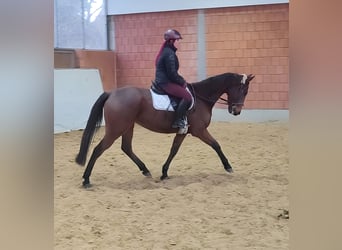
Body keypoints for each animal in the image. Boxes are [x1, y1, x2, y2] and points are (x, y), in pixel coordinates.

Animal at [76, 71, 255, 187]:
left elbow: (173, 150)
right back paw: (86, 180)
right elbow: (216, 145)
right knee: (98, 149)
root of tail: (111, 94)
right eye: (244, 90)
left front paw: (164, 173)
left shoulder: (183, 132)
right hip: (116, 129)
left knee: (126, 147)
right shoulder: (199, 131)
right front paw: (228, 166)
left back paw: (145, 170)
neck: (201, 98)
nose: (236, 111)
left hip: (127, 127)